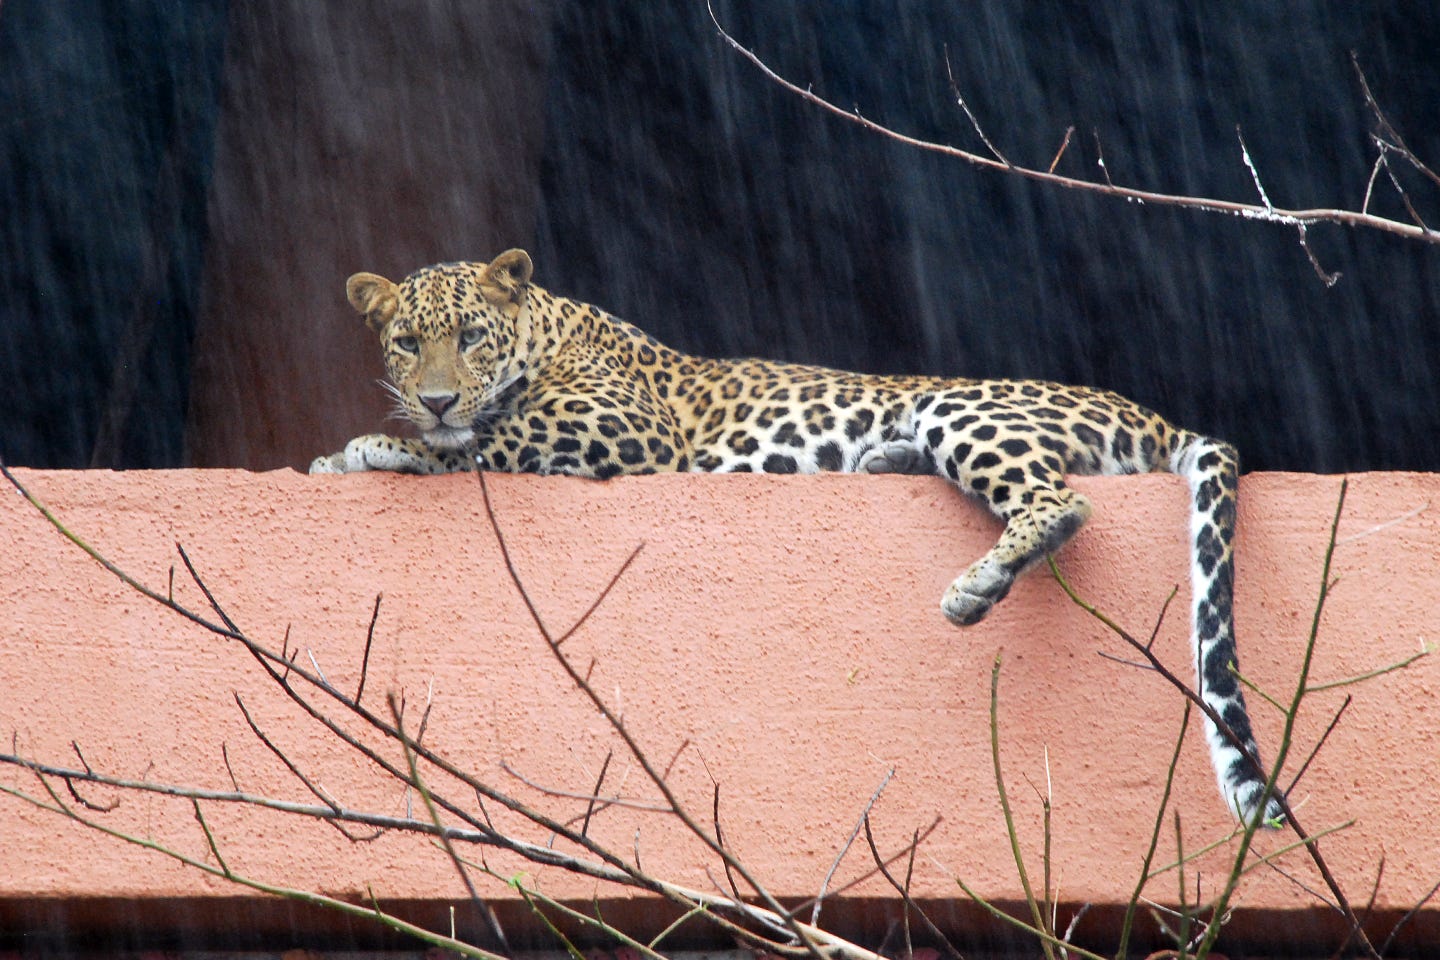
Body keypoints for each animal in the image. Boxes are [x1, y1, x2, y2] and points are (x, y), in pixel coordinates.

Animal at [310, 248, 1282, 826]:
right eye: (406, 342)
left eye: (472, 338)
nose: (436, 396)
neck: (548, 326)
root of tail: (1154, 415)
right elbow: (479, 434)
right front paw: (389, 435)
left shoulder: (627, 428)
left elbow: (491, 437)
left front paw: (379, 446)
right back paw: (885, 459)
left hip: (965, 406)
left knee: (1061, 503)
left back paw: (974, 584)